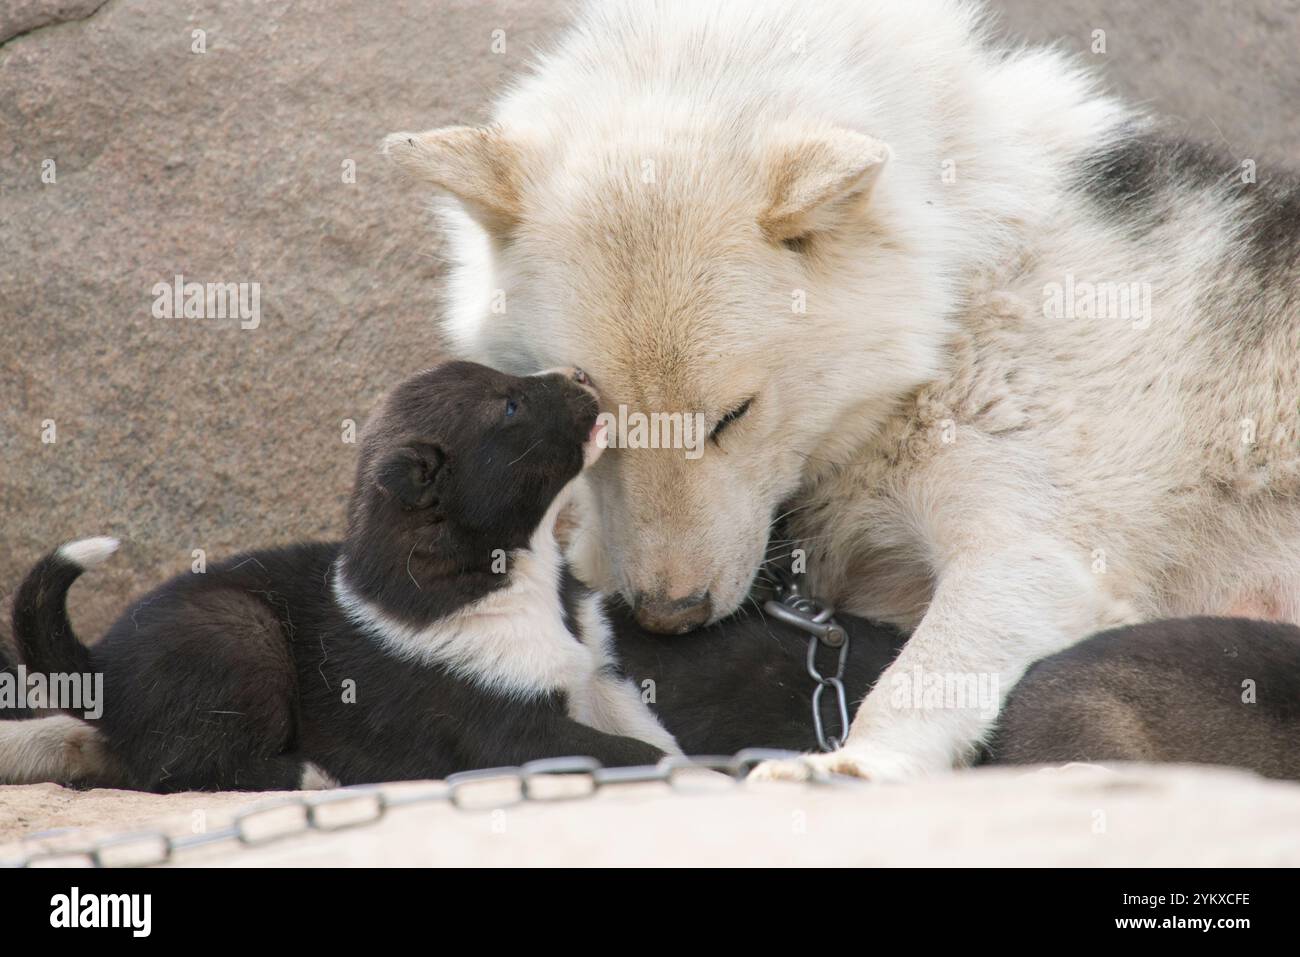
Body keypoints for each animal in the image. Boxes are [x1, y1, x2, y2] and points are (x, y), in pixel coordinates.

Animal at [7, 361, 681, 790]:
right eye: (510, 406)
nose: (584, 374)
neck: (519, 569)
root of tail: (100, 669)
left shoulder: (599, 677)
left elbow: (650, 732)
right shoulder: (507, 731)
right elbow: (634, 752)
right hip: (239, 633)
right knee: (174, 771)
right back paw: (310, 773)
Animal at [382, 0, 1300, 780]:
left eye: (733, 416)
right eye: (597, 411)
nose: (669, 617)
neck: (958, 276)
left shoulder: (1035, 557)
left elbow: (921, 678)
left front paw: (849, 766)